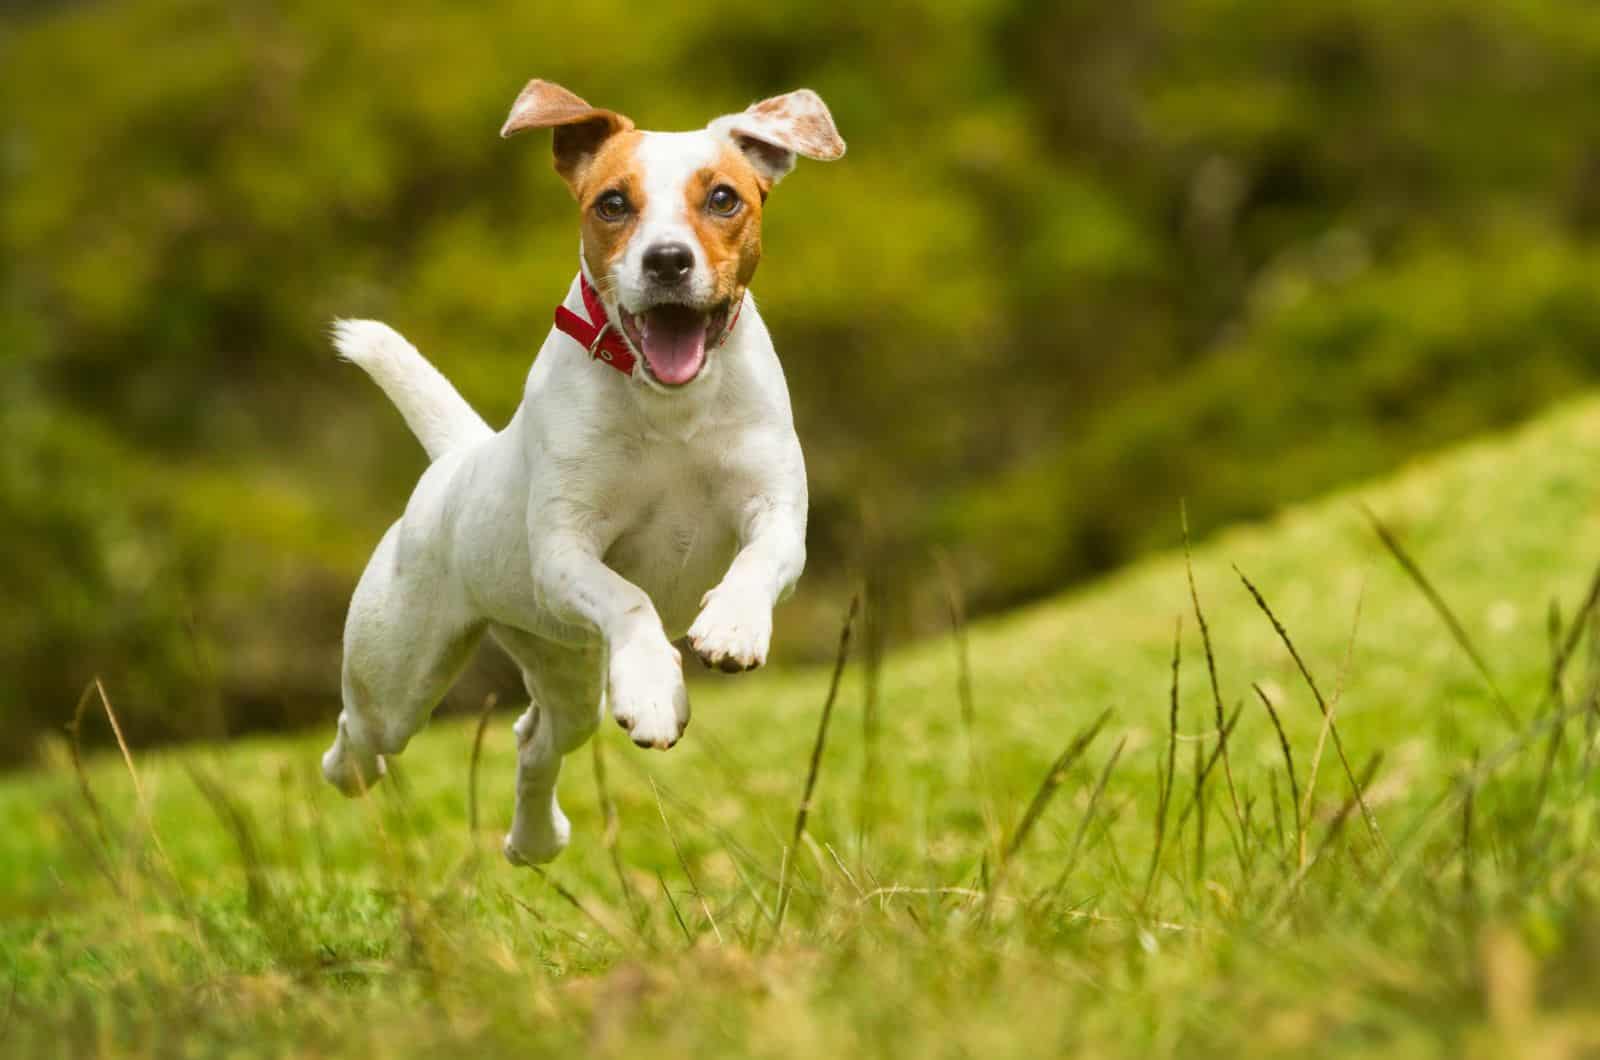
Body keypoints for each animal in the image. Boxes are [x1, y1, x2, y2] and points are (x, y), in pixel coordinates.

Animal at [316, 78, 844, 871]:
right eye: (613, 204)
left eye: (723, 197)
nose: (666, 261)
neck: (669, 405)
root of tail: (457, 458)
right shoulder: (566, 552)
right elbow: (631, 599)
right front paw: (655, 687)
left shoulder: (776, 510)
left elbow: (758, 560)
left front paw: (731, 626)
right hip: (399, 676)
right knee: (363, 737)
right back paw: (350, 771)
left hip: (564, 669)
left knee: (534, 740)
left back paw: (535, 840)